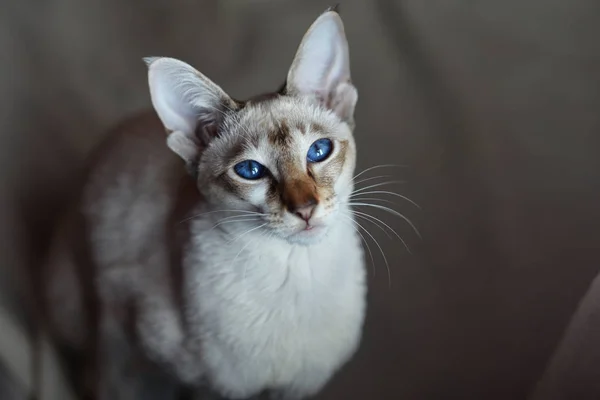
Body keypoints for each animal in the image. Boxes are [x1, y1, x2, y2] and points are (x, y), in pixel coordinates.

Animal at [41, 6, 366, 400]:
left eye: (319, 151)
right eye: (250, 170)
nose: (304, 209)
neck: (299, 274)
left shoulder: (297, 388)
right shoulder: (171, 361)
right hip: (79, 305)